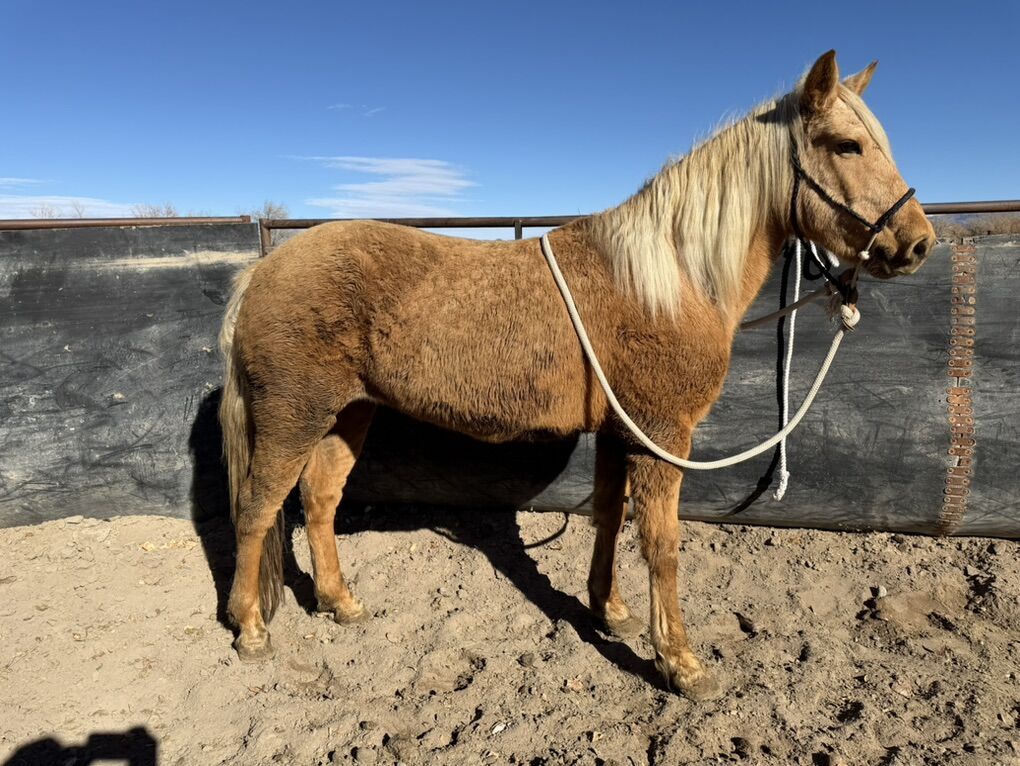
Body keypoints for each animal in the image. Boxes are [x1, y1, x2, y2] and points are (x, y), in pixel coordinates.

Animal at [218, 50, 935, 701]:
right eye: (846, 145)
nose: (918, 242)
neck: (669, 277)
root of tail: (264, 268)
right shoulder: (662, 435)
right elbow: (663, 543)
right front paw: (680, 663)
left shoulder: (622, 432)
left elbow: (611, 517)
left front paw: (609, 609)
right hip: (292, 416)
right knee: (257, 507)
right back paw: (250, 628)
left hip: (348, 414)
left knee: (319, 500)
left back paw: (340, 602)